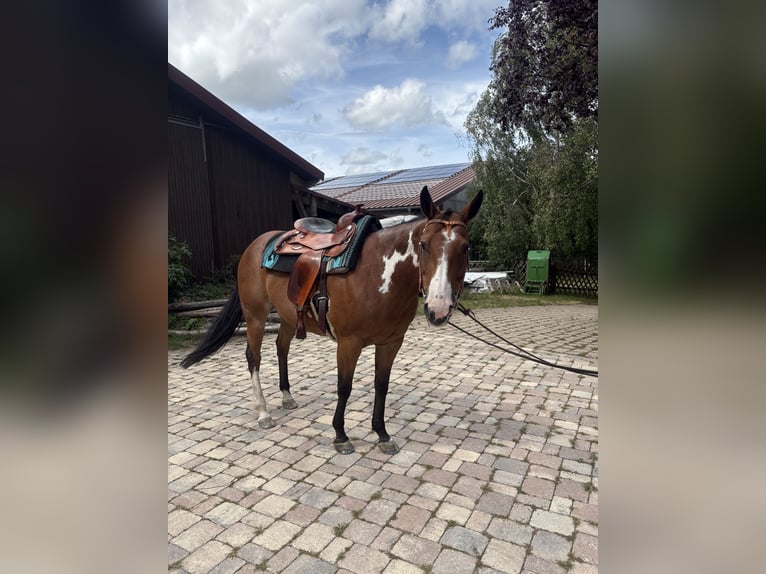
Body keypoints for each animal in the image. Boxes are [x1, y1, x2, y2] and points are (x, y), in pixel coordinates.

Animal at [180, 186, 483, 454]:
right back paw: (264, 413)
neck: (379, 274)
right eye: (423, 245)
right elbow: (344, 388)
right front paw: (341, 436)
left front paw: (382, 435)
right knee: (253, 357)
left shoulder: (391, 343)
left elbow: (381, 386)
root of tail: (255, 246)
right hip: (255, 315)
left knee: (281, 348)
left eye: (466, 248)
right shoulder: (349, 343)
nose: (438, 309)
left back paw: (287, 397)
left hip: (288, 316)